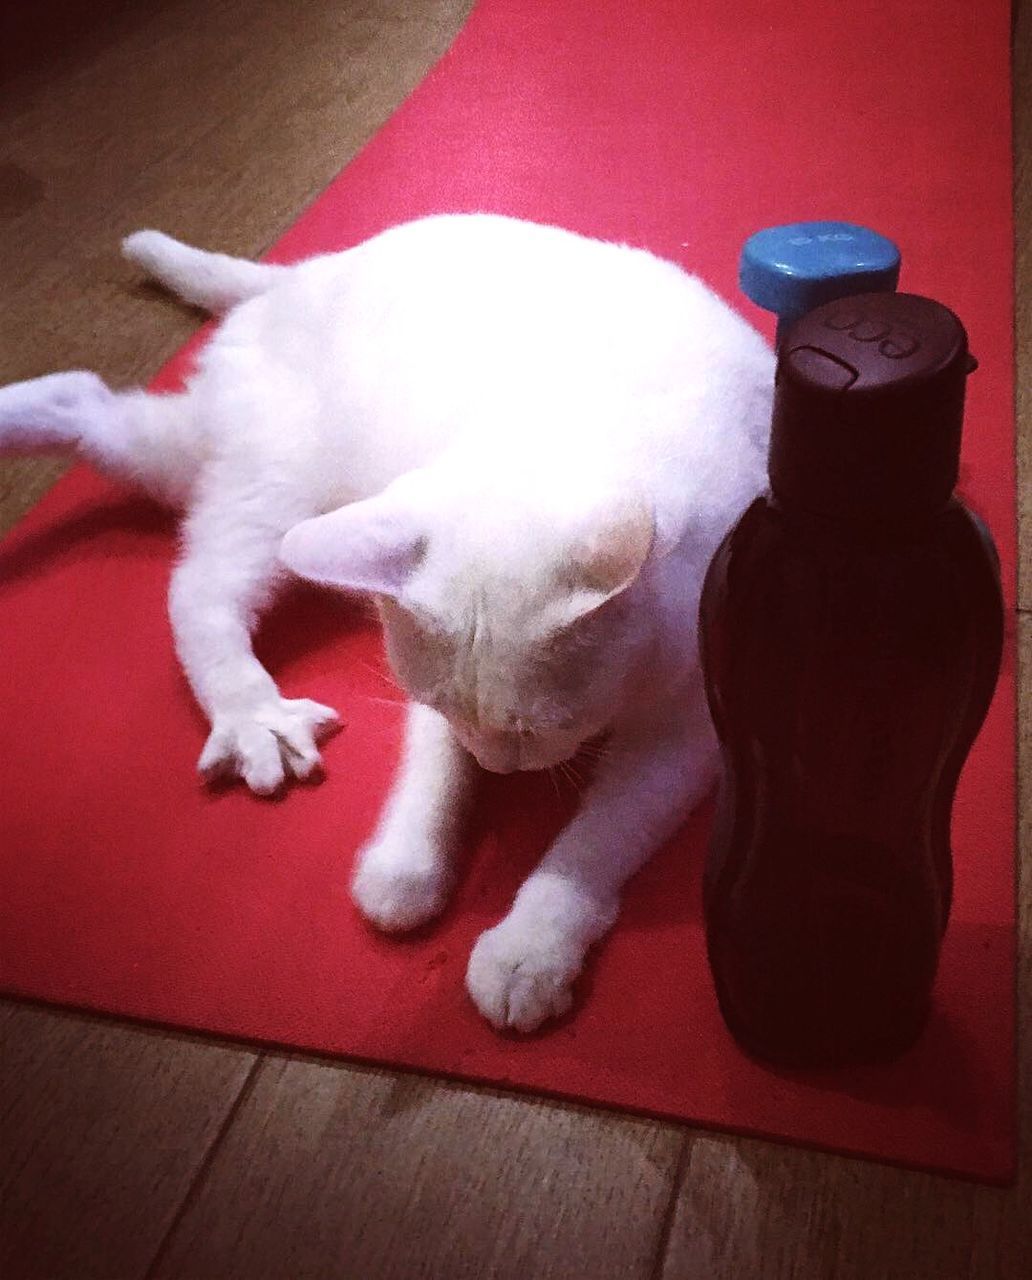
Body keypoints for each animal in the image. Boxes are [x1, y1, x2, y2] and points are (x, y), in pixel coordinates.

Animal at [0, 209, 778, 1029]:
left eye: (539, 728)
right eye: (447, 709)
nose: (499, 767)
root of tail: (300, 273)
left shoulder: (689, 732)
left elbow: (596, 839)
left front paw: (529, 948)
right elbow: (430, 785)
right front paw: (403, 870)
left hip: (203, 460)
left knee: (85, 400)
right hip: (274, 487)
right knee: (196, 587)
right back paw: (253, 717)